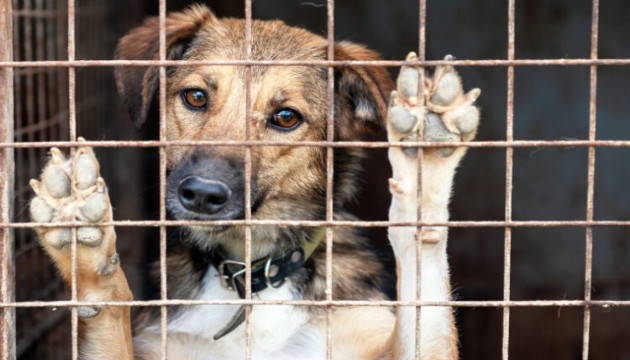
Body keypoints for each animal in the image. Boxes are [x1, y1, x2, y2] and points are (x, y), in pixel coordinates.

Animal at [29, 4, 482, 358]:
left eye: (285, 117)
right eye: (195, 96)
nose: (202, 194)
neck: (253, 277)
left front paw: (424, 163)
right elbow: (109, 307)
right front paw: (84, 246)